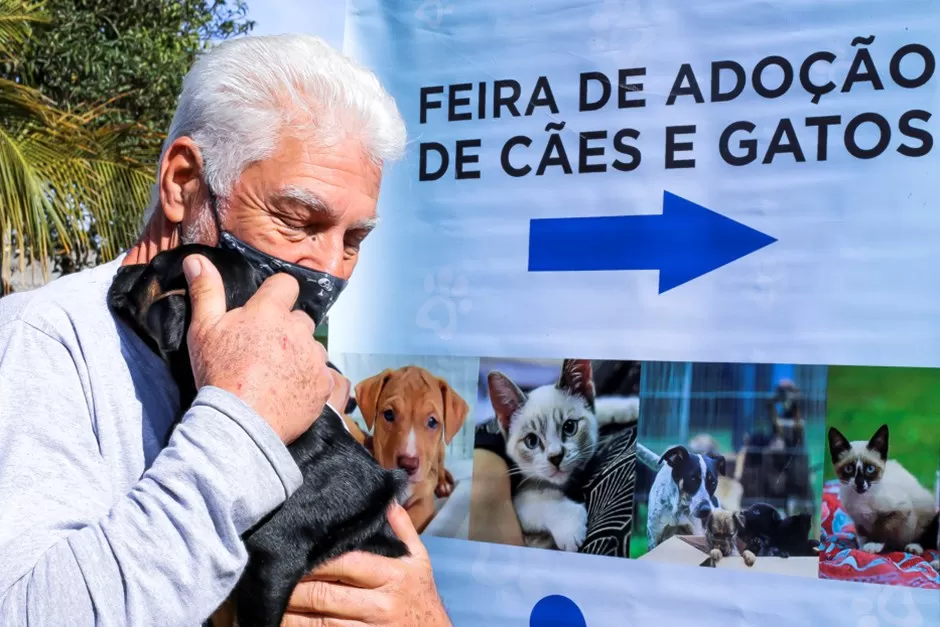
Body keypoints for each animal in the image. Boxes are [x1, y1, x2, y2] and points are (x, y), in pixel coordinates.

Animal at [354, 368, 468, 536]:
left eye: (432, 421)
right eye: (389, 414)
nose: (408, 464)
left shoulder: (424, 504)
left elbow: (409, 521)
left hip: (441, 450)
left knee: (440, 469)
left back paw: (442, 485)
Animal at [488, 360, 636, 552]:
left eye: (569, 427)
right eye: (531, 441)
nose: (556, 457)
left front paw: (630, 406)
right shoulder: (516, 502)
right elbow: (536, 499)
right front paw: (569, 527)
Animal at [828, 422, 940, 568]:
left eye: (870, 469)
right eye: (849, 469)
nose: (859, 484)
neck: (861, 498)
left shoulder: (901, 509)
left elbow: (881, 526)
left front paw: (874, 544)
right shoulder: (858, 519)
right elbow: (862, 534)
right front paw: (862, 547)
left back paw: (914, 547)